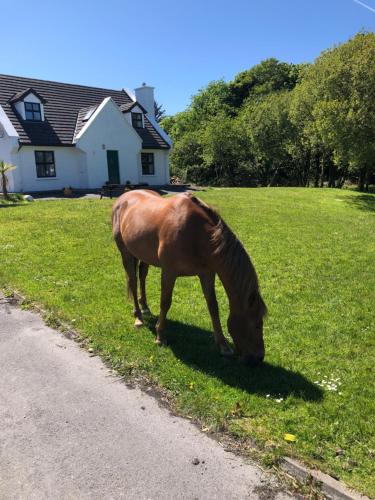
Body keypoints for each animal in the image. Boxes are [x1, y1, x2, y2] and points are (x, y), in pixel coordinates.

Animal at [111, 189, 268, 366]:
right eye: (257, 324)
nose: (258, 358)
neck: (197, 234)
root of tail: (123, 197)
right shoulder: (169, 272)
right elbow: (165, 303)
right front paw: (160, 336)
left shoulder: (207, 274)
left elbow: (213, 307)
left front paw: (223, 345)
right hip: (125, 252)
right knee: (133, 281)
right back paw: (138, 317)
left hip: (143, 254)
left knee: (142, 276)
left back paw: (145, 307)